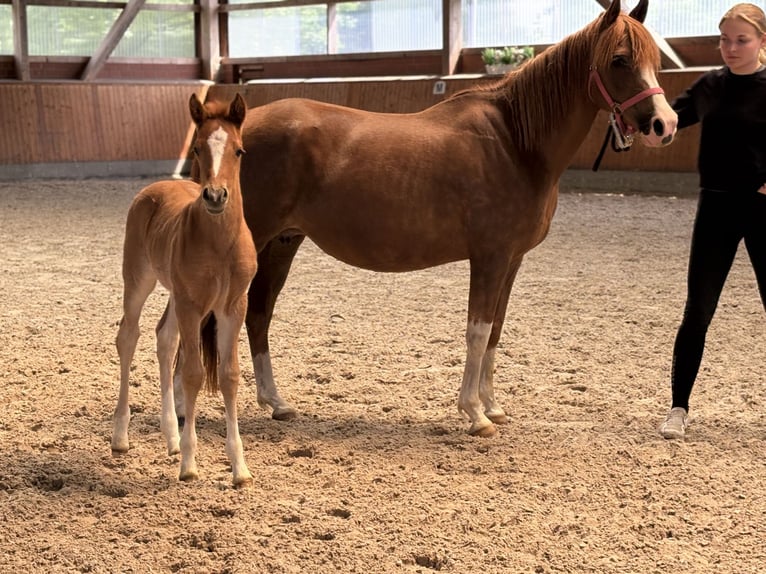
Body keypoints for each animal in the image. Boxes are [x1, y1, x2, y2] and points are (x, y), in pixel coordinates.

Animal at [112, 93, 257, 487]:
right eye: (195, 148)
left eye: (239, 150)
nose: (215, 196)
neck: (220, 244)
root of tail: (154, 188)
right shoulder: (193, 304)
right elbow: (192, 373)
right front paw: (190, 465)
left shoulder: (232, 306)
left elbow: (229, 375)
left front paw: (239, 469)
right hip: (140, 279)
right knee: (128, 336)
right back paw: (121, 436)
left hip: (177, 297)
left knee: (164, 338)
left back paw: (171, 439)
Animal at [184, 0, 677, 437]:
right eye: (619, 59)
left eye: (655, 60)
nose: (665, 125)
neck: (514, 142)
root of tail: (230, 133)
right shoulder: (489, 258)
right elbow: (478, 331)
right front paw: (474, 415)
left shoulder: (511, 261)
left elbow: (495, 331)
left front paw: (492, 407)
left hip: (282, 243)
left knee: (258, 315)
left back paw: (277, 403)